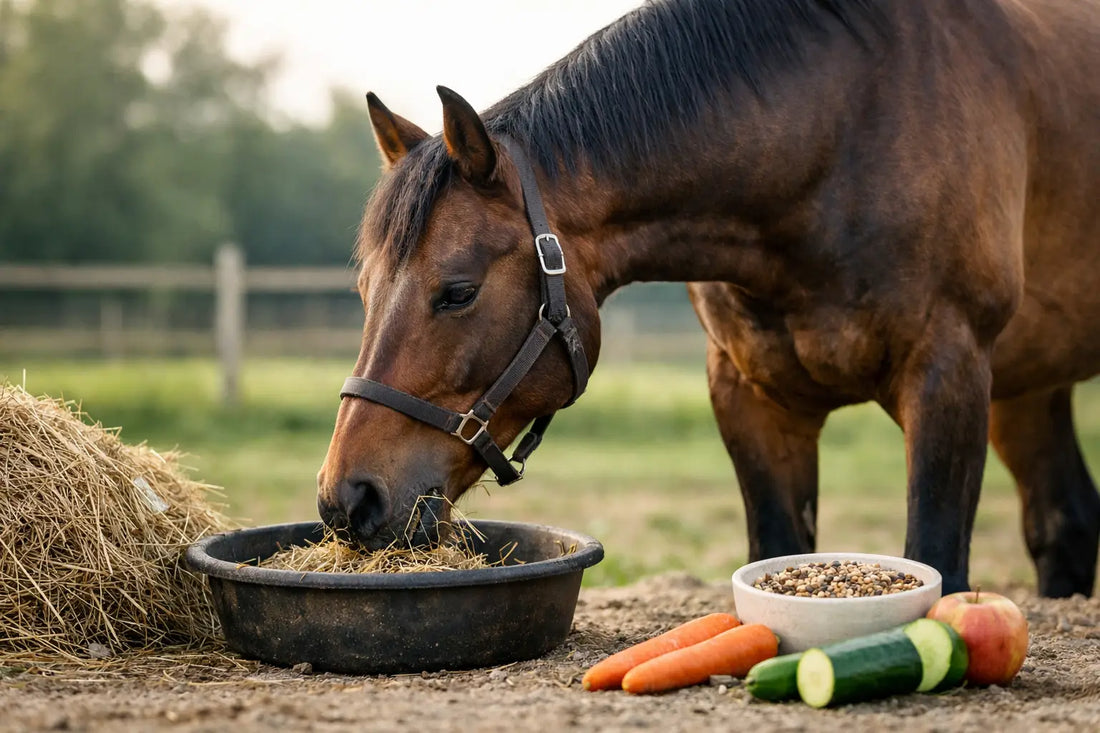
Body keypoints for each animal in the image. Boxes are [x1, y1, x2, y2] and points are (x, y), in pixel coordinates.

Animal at [317, 0, 1100, 597]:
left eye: (458, 292)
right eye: (364, 290)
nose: (346, 498)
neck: (847, 129)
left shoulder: (948, 374)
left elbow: (936, 560)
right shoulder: (751, 396)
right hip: (1024, 387)